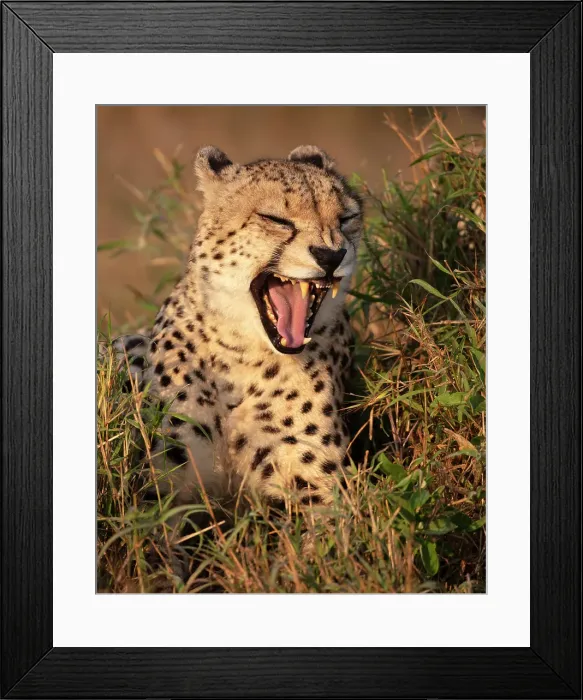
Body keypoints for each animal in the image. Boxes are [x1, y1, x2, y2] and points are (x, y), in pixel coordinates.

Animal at [114, 144, 363, 510]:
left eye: (345, 219)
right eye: (275, 219)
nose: (331, 256)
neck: (244, 354)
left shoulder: (322, 490)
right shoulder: (160, 491)